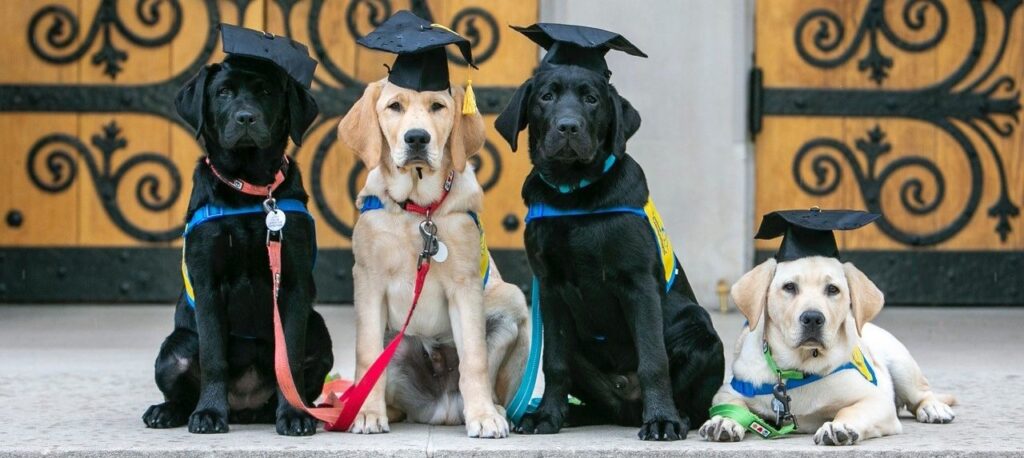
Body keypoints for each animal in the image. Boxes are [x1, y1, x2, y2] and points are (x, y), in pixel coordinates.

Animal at [140, 25, 329, 438]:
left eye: (267, 93)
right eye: (224, 92)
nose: (246, 118)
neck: (250, 188)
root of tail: (245, 405)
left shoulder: (291, 283)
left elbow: (289, 358)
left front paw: (294, 416)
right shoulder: (208, 283)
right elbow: (214, 357)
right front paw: (210, 413)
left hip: (319, 331)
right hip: (173, 346)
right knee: (181, 386)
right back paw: (168, 411)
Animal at [337, 79, 528, 440]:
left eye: (438, 107)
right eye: (394, 106)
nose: (417, 138)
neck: (418, 210)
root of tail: (443, 410)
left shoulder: (465, 286)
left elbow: (474, 358)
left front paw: (483, 416)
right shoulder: (368, 281)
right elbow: (367, 354)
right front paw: (368, 414)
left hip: (513, 299)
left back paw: (492, 409)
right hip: (396, 338)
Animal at [497, 24, 729, 440]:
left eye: (591, 99)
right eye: (546, 97)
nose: (568, 127)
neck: (574, 194)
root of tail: (626, 405)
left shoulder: (638, 283)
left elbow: (653, 360)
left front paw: (661, 420)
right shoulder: (549, 290)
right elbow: (553, 362)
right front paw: (546, 417)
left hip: (698, 326)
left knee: (695, 403)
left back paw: (677, 417)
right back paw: (570, 414)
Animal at [700, 258, 954, 448]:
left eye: (833, 289)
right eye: (789, 287)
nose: (813, 318)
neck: (798, 367)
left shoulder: (876, 400)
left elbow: (851, 410)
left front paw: (838, 426)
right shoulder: (726, 392)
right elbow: (736, 406)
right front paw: (724, 420)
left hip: (901, 364)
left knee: (921, 394)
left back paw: (934, 408)